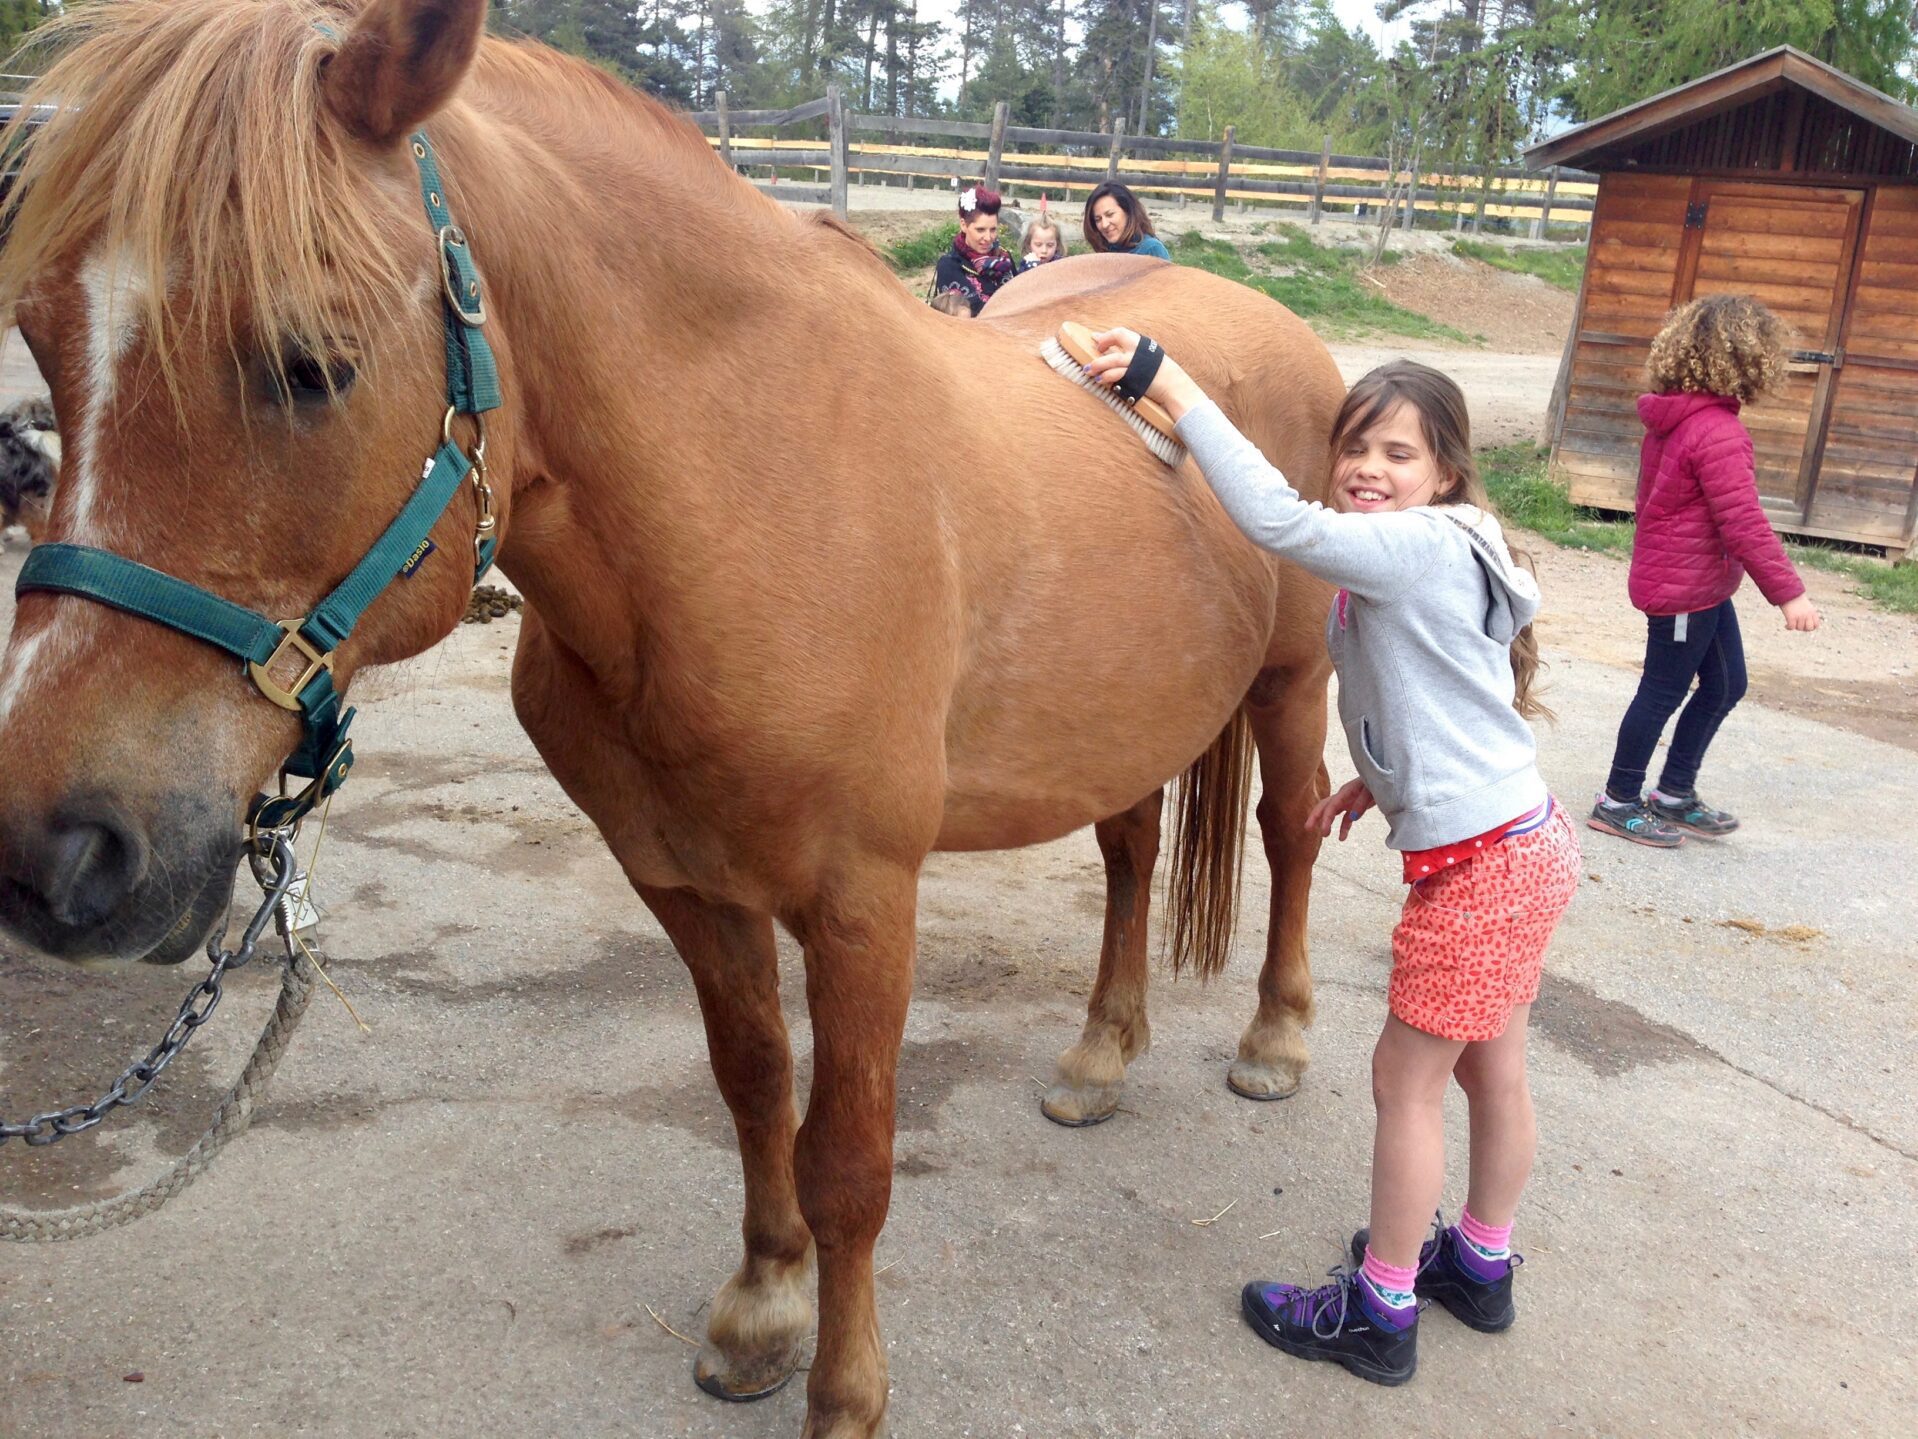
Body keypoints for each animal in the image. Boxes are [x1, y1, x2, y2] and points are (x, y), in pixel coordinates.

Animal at [0, 5, 1342, 1435]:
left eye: (311, 362)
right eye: (44, 343)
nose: (51, 852)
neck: (747, 492)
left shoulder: (864, 900)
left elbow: (848, 1156)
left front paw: (844, 1393)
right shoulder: (685, 880)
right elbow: (753, 1089)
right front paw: (760, 1309)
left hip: (1292, 683)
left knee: (1291, 829)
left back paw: (1273, 1039)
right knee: (1131, 853)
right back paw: (1099, 1054)